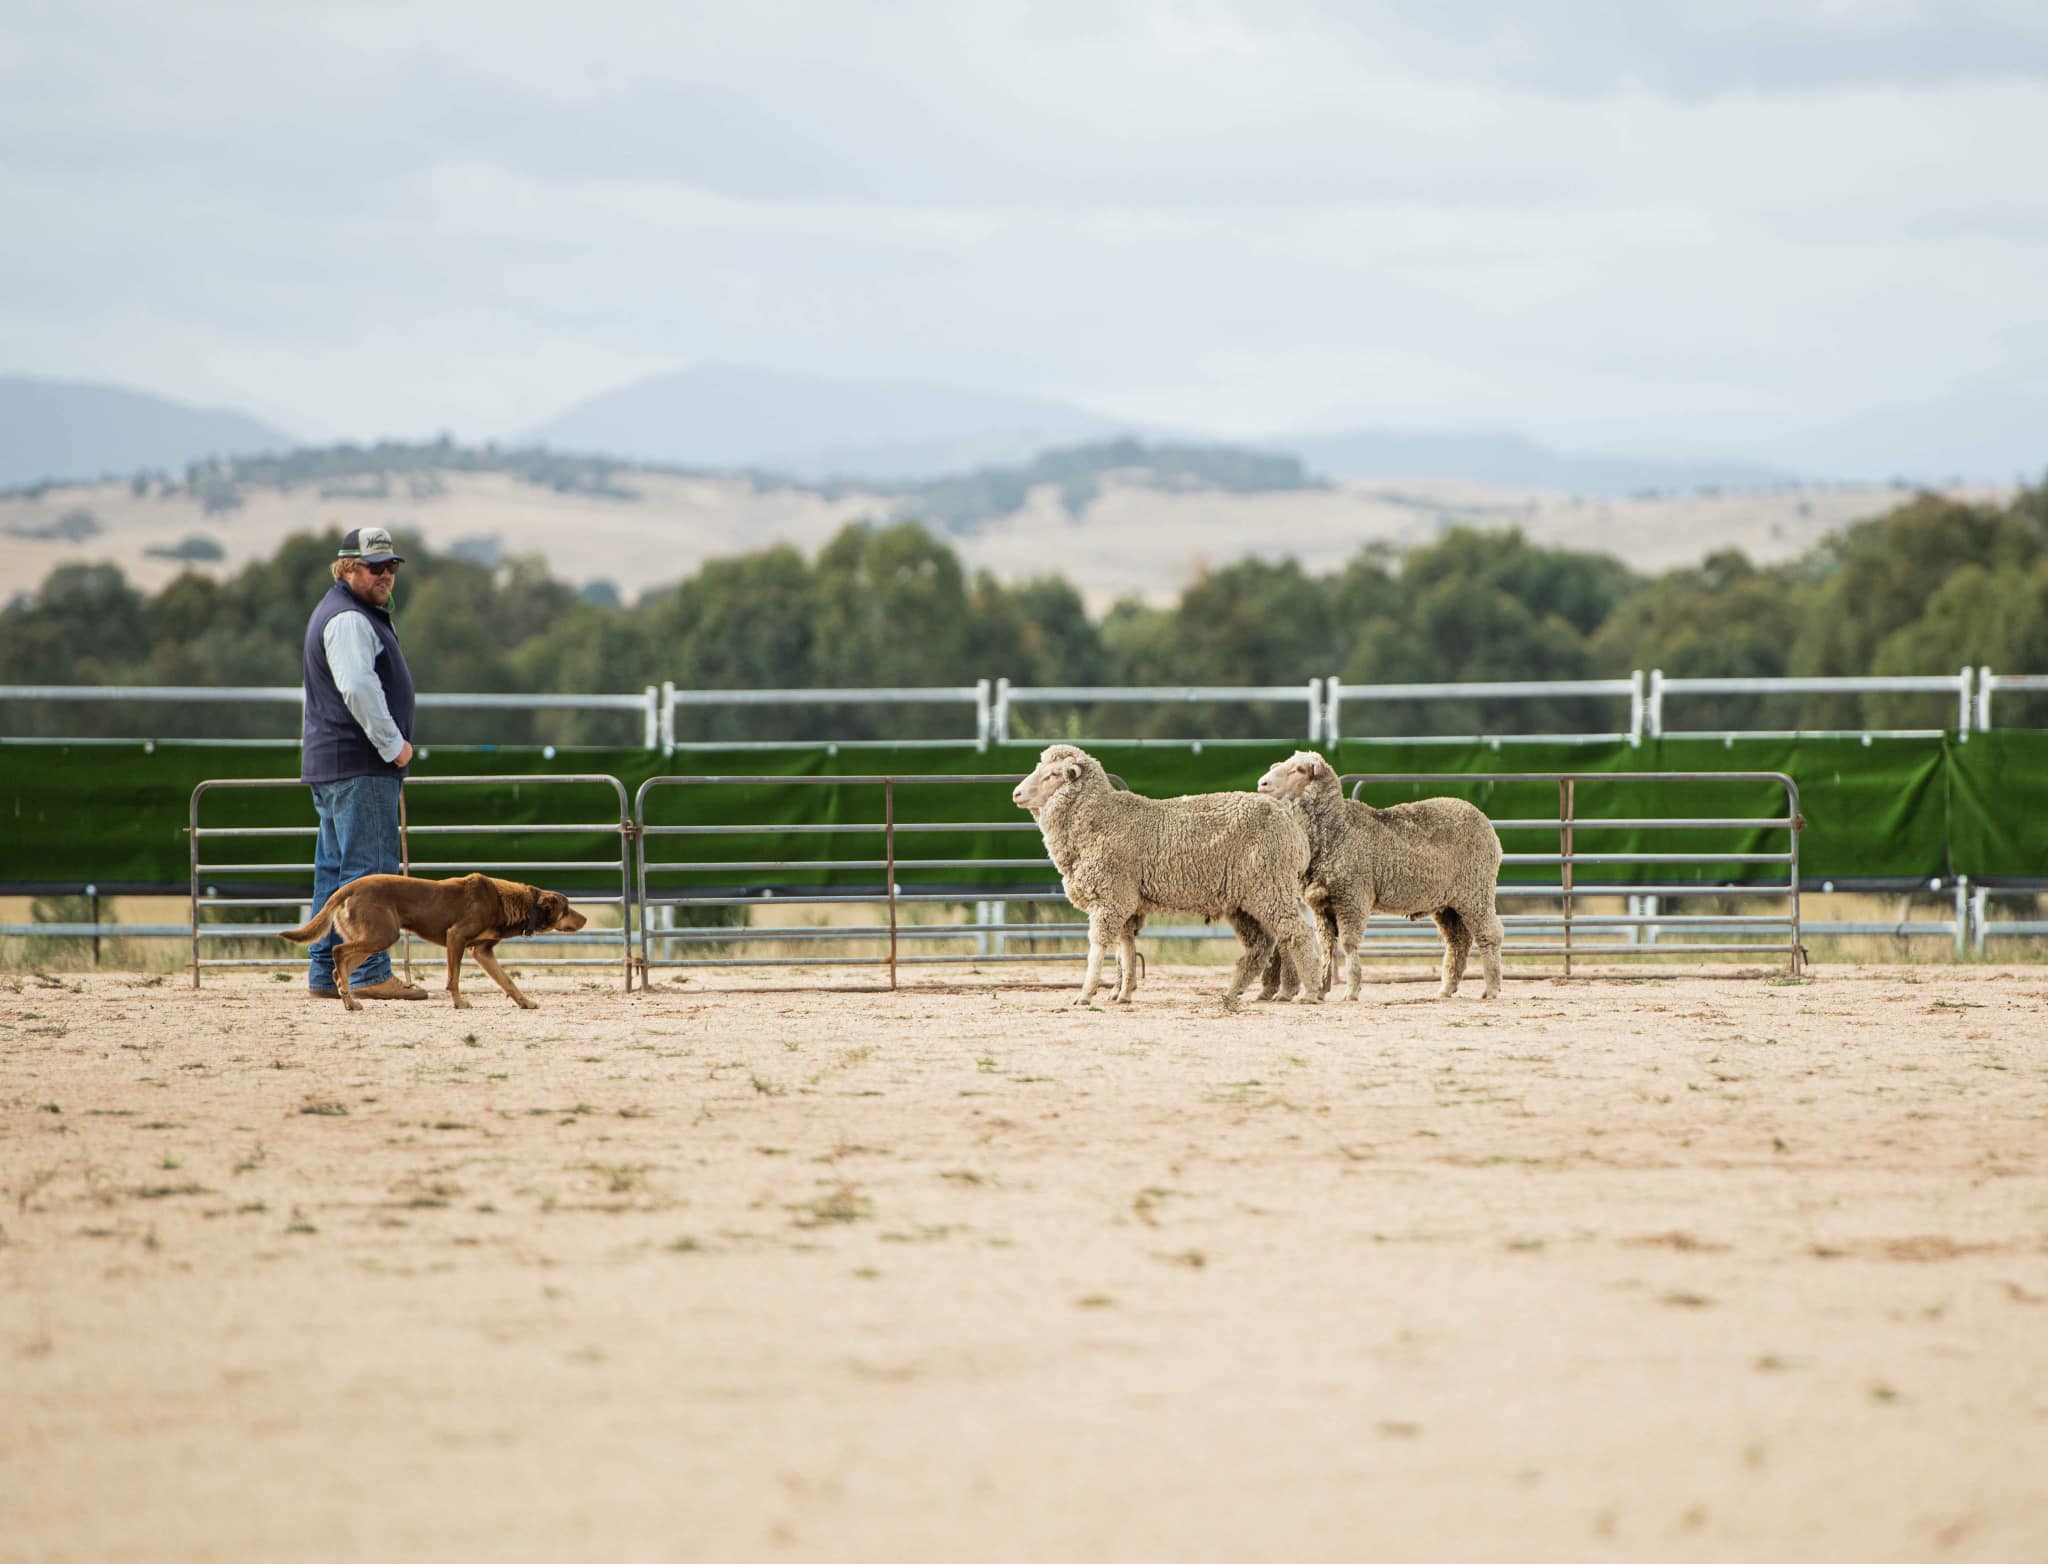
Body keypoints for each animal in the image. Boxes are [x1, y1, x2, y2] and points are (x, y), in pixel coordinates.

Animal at [282, 867, 585, 1015]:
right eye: (567, 908)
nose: (584, 920)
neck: (505, 901)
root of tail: (349, 886)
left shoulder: (482, 951)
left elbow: (507, 981)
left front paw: (525, 1002)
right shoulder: (456, 937)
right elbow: (454, 979)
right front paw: (459, 1003)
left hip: (373, 937)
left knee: (340, 966)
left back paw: (350, 1003)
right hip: (382, 934)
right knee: (337, 950)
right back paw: (348, 999)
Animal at [1011, 741, 1327, 1007]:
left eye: (1053, 775)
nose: (1016, 793)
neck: (1099, 819)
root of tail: (1293, 829)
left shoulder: (1111, 896)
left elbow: (1098, 948)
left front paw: (1086, 994)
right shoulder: (1127, 901)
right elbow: (1127, 949)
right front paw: (1124, 993)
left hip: (1270, 885)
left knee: (1298, 933)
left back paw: (1309, 992)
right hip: (1245, 900)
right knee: (1262, 944)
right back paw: (1233, 992)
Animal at [1245, 749, 1507, 1003]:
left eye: (1299, 769)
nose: (1262, 783)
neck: (1337, 830)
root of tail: (1483, 819)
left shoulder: (1352, 897)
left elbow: (1349, 944)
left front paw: (1351, 991)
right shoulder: (1321, 905)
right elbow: (1327, 946)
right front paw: (1320, 990)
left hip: (1476, 890)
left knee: (1489, 934)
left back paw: (1492, 988)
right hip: (1447, 903)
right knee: (1458, 941)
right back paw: (1446, 989)